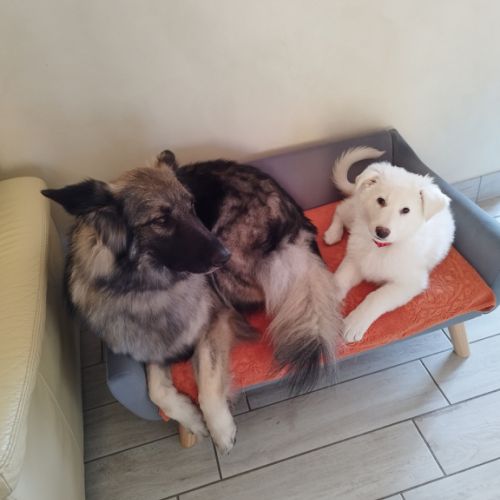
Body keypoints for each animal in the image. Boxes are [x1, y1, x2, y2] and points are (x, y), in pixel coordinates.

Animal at [42, 151, 340, 453]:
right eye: (161, 220)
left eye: (192, 207)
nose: (224, 255)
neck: (148, 287)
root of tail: (296, 215)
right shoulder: (152, 343)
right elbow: (156, 391)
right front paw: (192, 420)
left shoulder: (215, 318)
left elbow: (207, 382)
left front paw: (220, 429)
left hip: (232, 272)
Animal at [323, 147, 455, 343]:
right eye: (381, 200)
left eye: (406, 210)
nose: (381, 232)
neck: (380, 247)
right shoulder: (354, 260)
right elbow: (338, 281)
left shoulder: (409, 283)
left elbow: (376, 297)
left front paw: (355, 322)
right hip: (356, 211)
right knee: (340, 209)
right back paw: (333, 234)